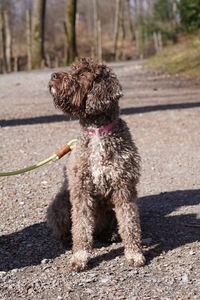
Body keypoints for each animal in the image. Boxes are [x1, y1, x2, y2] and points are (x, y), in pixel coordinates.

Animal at [47, 57, 145, 270]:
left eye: (83, 74)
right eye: (72, 69)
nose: (53, 75)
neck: (98, 131)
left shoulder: (124, 188)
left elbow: (130, 223)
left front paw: (134, 253)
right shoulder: (81, 190)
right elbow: (81, 227)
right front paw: (79, 256)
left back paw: (110, 234)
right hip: (60, 203)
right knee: (67, 227)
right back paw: (67, 240)